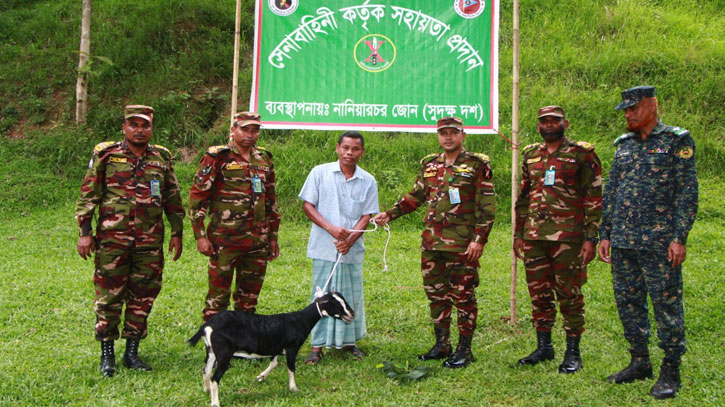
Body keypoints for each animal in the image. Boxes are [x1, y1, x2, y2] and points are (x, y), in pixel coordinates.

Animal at [188, 292, 354, 406]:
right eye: (336, 304)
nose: (352, 314)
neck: (300, 320)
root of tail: (208, 326)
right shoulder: (292, 347)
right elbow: (291, 367)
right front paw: (294, 388)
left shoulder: (276, 347)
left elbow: (274, 363)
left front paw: (260, 377)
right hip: (223, 353)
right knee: (215, 378)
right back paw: (215, 402)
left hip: (211, 351)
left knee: (206, 371)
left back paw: (206, 390)